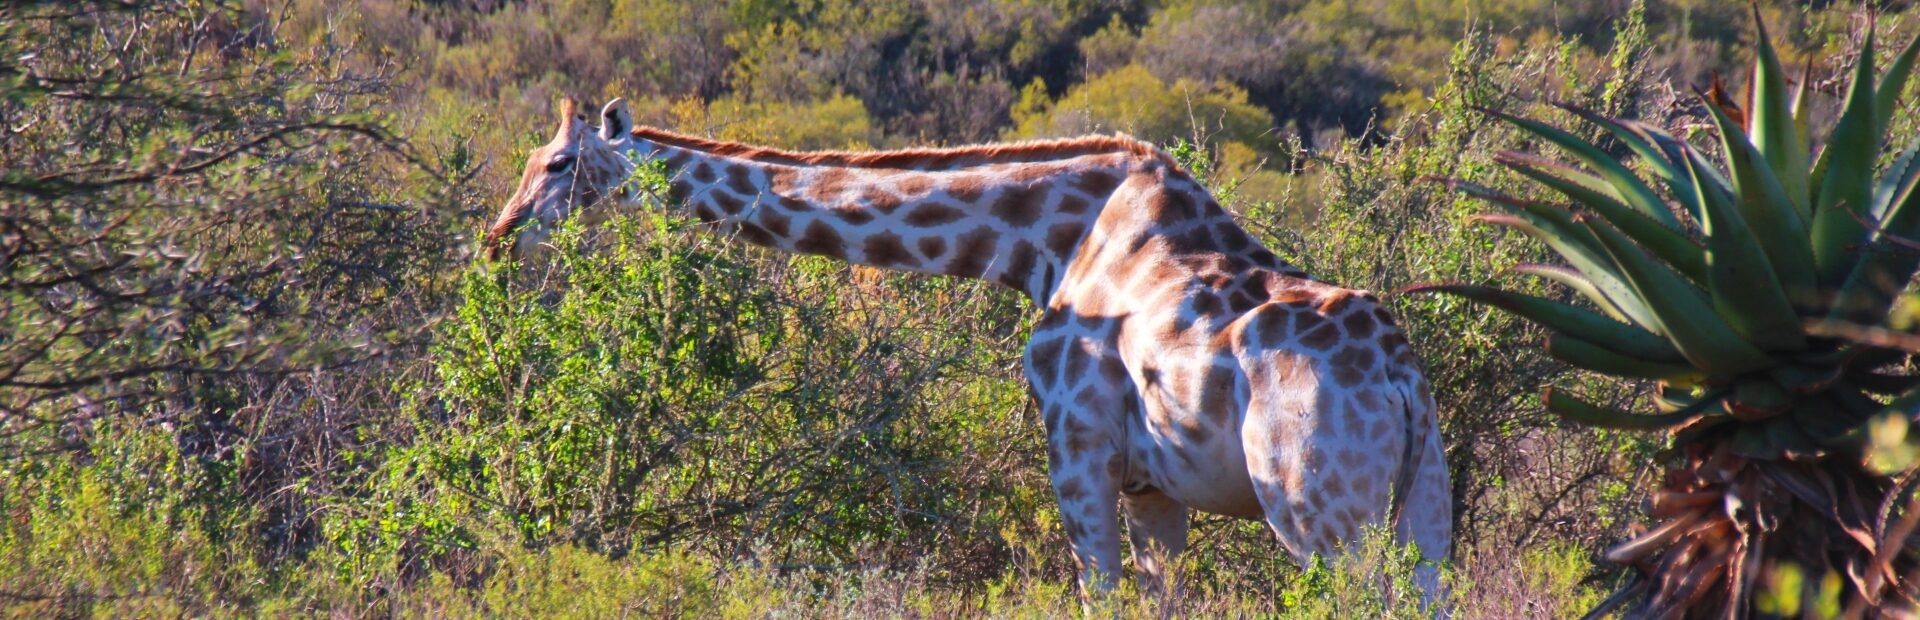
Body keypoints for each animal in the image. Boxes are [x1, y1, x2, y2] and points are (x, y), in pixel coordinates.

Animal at [487, 98, 1453, 602]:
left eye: (560, 164)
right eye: (533, 156)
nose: (497, 243)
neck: (1044, 242)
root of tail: (1400, 378)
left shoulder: (1077, 450)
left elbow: (1100, 596)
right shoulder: (1152, 483)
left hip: (1317, 510)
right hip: (1424, 508)